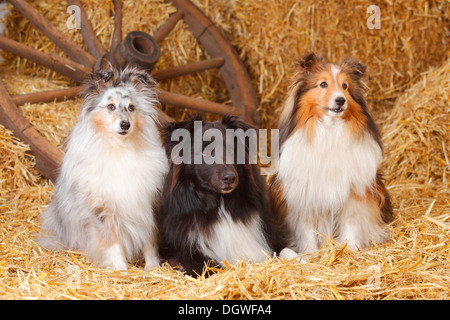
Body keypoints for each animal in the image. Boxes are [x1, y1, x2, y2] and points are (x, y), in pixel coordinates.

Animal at [38, 66, 168, 272]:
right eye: (110, 106)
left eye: (131, 107)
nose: (125, 125)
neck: (120, 149)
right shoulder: (101, 210)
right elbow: (112, 242)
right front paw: (120, 269)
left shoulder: (148, 206)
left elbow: (150, 240)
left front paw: (152, 268)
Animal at [270, 52, 394, 258]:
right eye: (323, 84)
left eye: (345, 86)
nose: (340, 100)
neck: (329, 131)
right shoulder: (304, 197)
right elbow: (307, 232)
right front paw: (310, 255)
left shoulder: (354, 193)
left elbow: (351, 225)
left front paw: (350, 251)